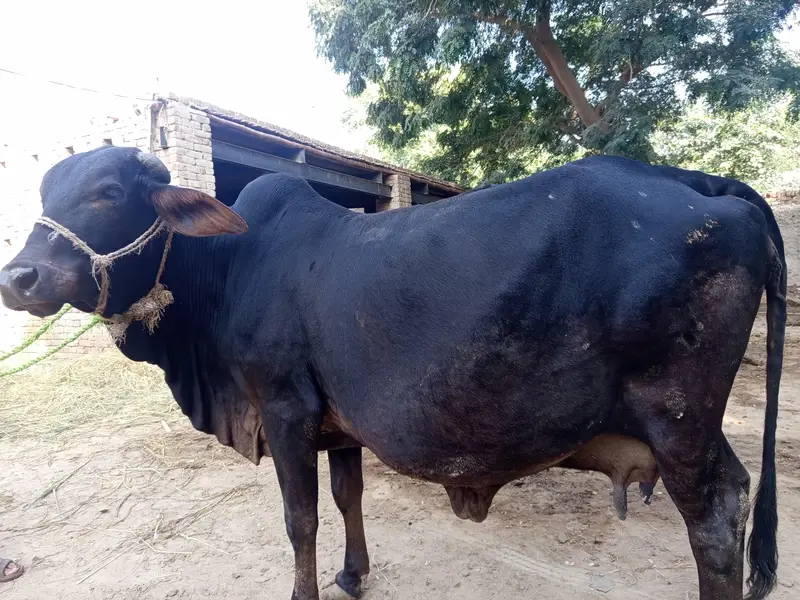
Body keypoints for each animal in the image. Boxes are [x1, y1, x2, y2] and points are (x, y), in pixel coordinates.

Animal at [0, 146, 785, 600]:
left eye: (107, 191)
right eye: (43, 192)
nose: (19, 276)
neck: (230, 265)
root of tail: (700, 181)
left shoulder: (283, 409)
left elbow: (300, 518)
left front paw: (308, 591)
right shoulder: (335, 421)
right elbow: (347, 498)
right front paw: (353, 575)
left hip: (677, 415)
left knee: (716, 517)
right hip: (694, 421)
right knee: (739, 492)